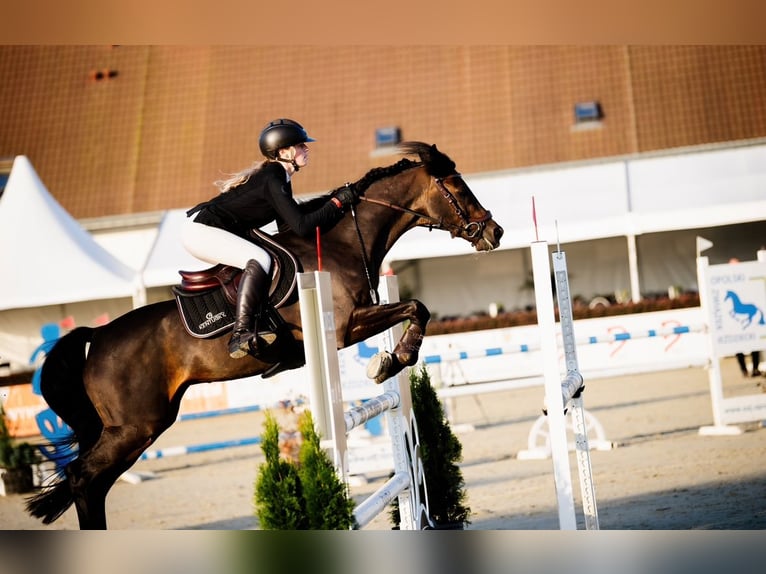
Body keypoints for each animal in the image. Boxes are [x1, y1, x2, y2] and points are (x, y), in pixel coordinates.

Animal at [25, 143, 504, 532]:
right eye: (458, 188)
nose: (494, 232)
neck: (342, 244)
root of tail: (97, 336)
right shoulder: (345, 327)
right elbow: (416, 308)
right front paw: (390, 360)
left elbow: (415, 310)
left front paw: (389, 359)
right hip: (135, 425)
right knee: (83, 478)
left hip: (142, 426)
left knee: (92, 482)